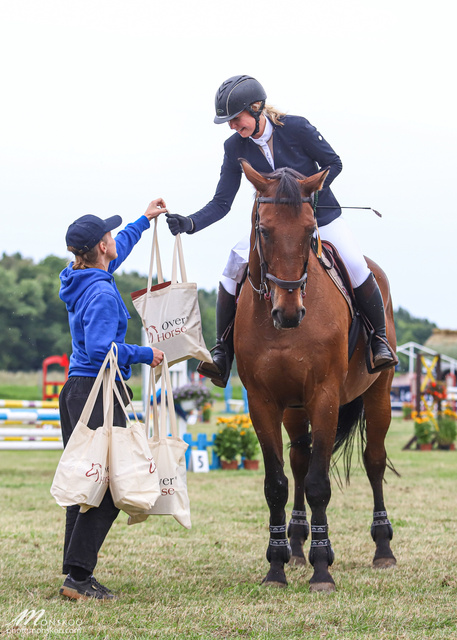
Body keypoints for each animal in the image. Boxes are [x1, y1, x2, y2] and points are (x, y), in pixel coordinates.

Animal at [235, 161, 396, 596]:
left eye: (310, 231)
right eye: (263, 230)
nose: (289, 313)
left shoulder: (324, 396)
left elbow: (320, 484)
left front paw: (323, 568)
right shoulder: (263, 402)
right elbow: (277, 483)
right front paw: (276, 566)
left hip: (379, 394)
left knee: (374, 461)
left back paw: (383, 548)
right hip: (294, 408)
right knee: (299, 461)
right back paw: (295, 545)